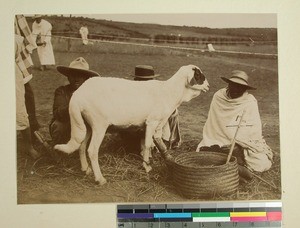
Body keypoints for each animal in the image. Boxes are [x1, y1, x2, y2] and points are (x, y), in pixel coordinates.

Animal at [54, 64, 209, 185]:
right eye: (198, 74)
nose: (208, 86)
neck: (170, 92)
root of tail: (78, 95)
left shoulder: (154, 124)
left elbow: (150, 143)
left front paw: (151, 161)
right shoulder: (152, 121)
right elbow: (148, 144)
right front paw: (147, 167)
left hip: (87, 125)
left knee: (81, 146)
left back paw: (86, 170)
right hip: (99, 124)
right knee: (92, 150)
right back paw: (100, 179)